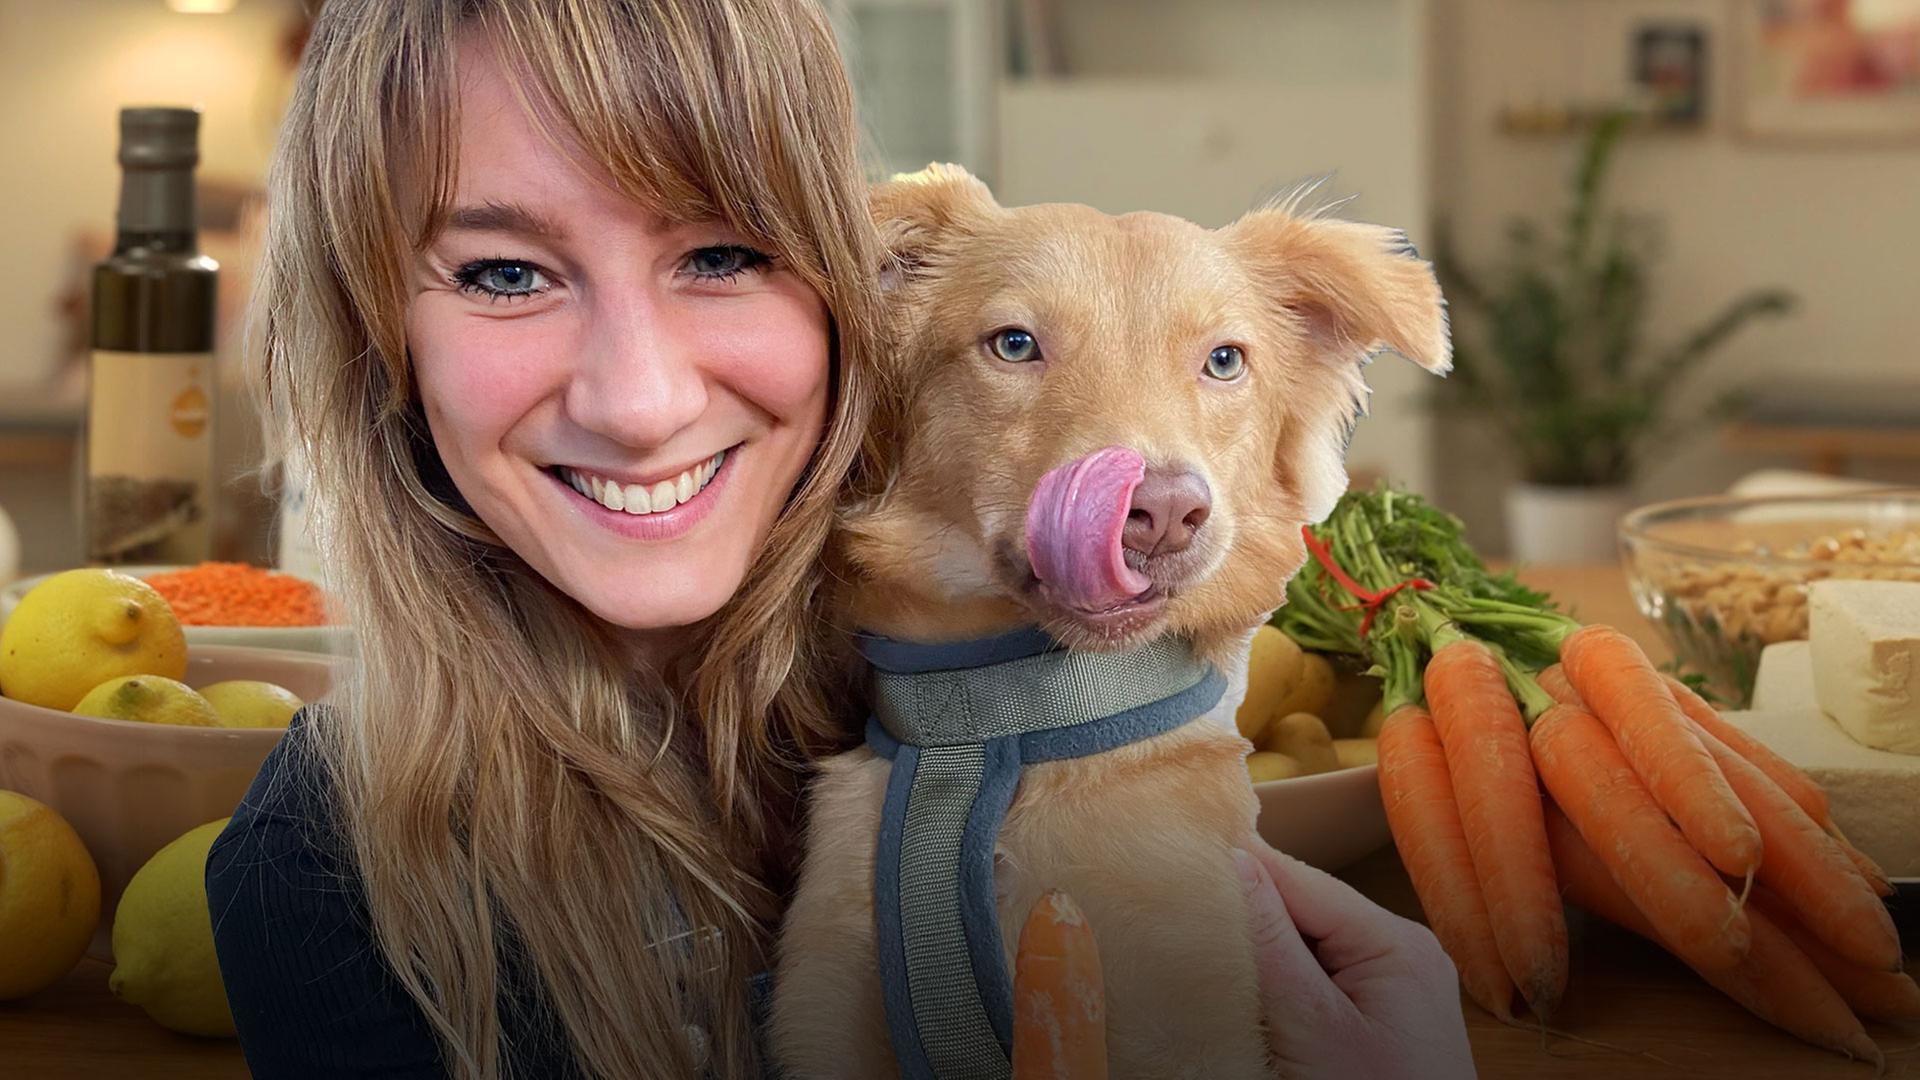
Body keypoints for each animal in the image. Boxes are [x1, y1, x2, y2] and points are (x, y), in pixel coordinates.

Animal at [770, 164, 1450, 1079]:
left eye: (1224, 361)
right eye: (1013, 344)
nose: (1161, 513)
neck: (1003, 729)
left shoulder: (1187, 1009)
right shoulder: (825, 1009)